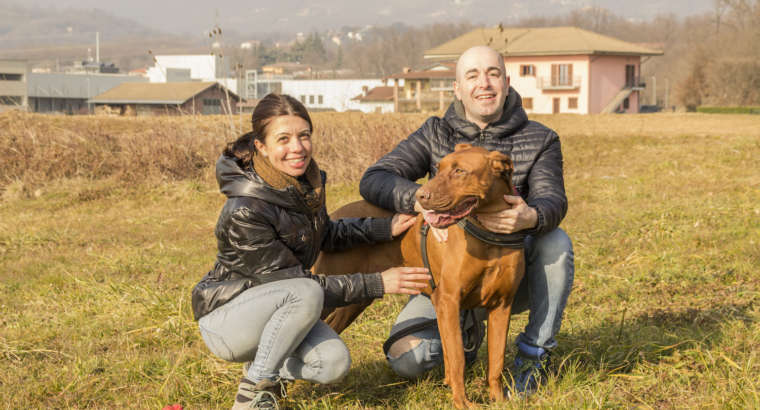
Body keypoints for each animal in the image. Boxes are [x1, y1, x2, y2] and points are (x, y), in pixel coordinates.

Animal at [314, 143, 524, 406]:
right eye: (439, 168)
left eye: (460, 171)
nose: (421, 197)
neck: (488, 234)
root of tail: (333, 216)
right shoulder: (449, 302)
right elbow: (457, 358)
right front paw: (462, 402)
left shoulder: (502, 304)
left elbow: (496, 360)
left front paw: (499, 400)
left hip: (355, 299)